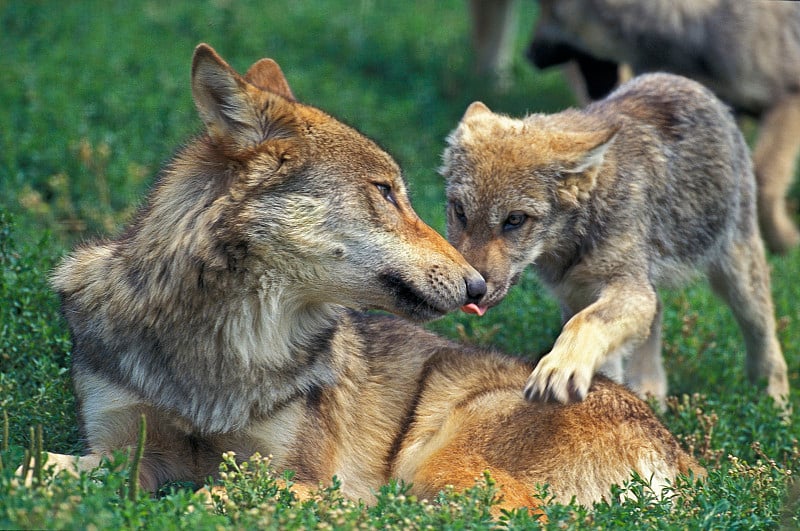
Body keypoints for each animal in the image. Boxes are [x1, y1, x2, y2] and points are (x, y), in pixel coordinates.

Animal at [40, 44, 704, 512]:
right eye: (386, 191)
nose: (478, 287)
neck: (221, 352)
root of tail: (683, 453)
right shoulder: (119, 446)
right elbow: (43, 468)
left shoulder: (286, 471)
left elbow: (218, 493)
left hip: (438, 469)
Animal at [440, 72, 792, 410]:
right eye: (459, 212)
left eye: (514, 220)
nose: (473, 291)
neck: (575, 241)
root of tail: (686, 82)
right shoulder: (580, 295)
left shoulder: (624, 289)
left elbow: (585, 324)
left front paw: (558, 368)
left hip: (736, 281)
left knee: (766, 339)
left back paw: (775, 405)